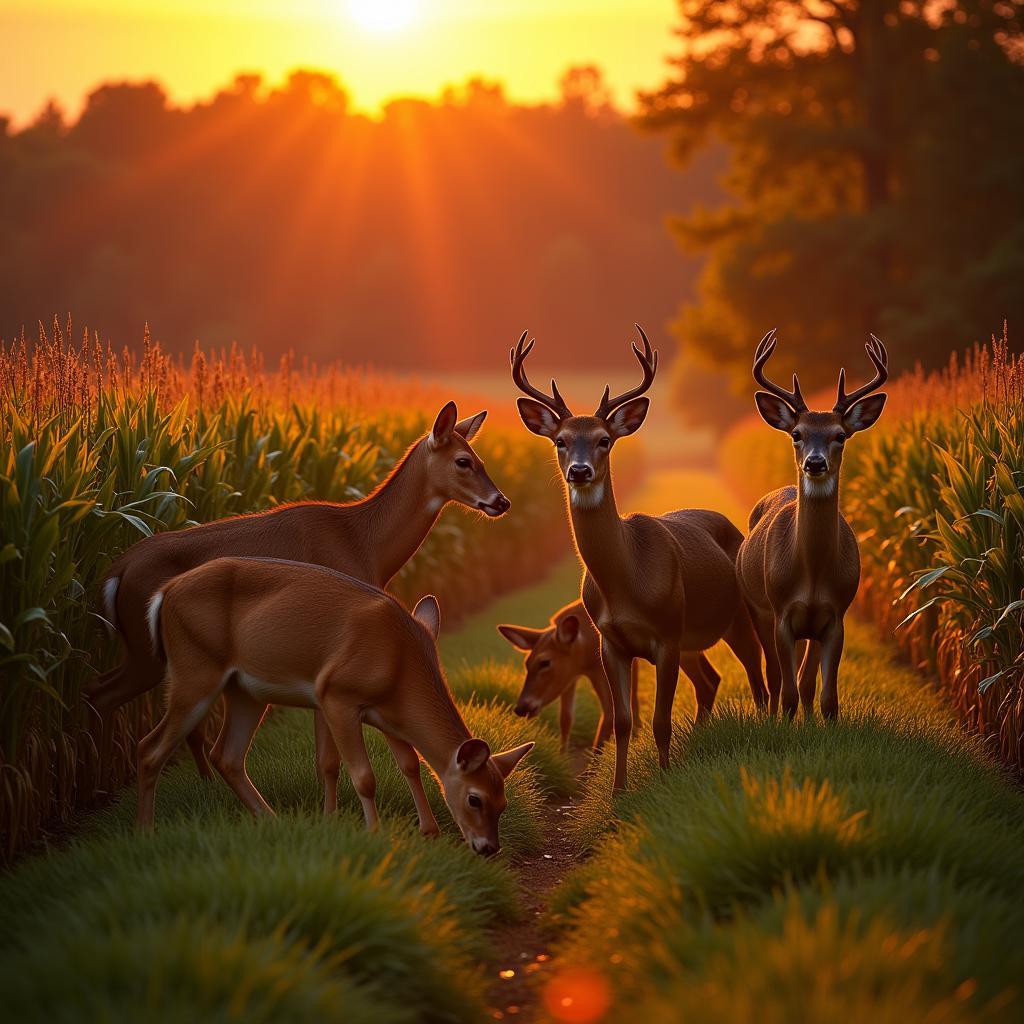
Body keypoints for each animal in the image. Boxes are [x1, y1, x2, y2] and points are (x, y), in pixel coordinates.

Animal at [87, 401, 507, 815]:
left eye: (481, 458)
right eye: (463, 461)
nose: (501, 501)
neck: (364, 542)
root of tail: (117, 569)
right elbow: (330, 758)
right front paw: (331, 817)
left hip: (145, 652)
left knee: (103, 693)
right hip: (150, 652)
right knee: (108, 697)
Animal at [138, 557, 536, 851]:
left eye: (503, 803)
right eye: (475, 799)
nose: (489, 847)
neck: (399, 665)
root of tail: (163, 593)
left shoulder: (387, 716)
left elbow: (409, 764)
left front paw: (429, 831)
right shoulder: (337, 694)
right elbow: (363, 776)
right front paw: (375, 833)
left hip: (243, 690)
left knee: (227, 755)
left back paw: (274, 822)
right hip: (195, 669)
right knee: (149, 748)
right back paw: (147, 833)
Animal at [495, 598, 638, 753]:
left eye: (545, 662)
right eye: (527, 663)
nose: (521, 708)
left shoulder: (601, 669)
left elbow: (612, 711)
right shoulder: (569, 676)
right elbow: (565, 717)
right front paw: (562, 756)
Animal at [512, 327, 770, 790]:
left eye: (604, 440)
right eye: (560, 440)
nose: (579, 470)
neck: (626, 582)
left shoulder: (666, 635)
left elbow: (660, 721)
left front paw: (663, 780)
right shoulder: (611, 642)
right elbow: (623, 721)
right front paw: (617, 789)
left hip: (740, 617)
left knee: (758, 681)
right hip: (692, 641)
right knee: (710, 681)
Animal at [737, 327, 888, 720]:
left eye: (840, 435)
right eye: (797, 434)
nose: (815, 463)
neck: (813, 574)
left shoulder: (835, 616)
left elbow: (826, 697)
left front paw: (818, 723)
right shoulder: (781, 614)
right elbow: (788, 689)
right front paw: (784, 724)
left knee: (804, 680)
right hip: (757, 608)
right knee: (775, 676)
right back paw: (771, 714)